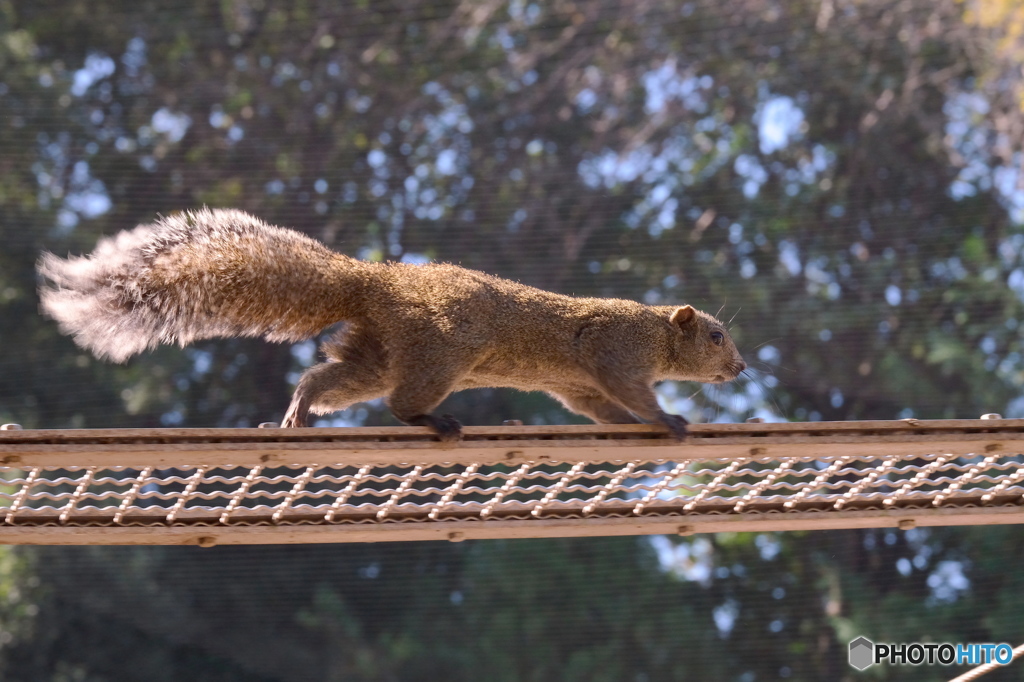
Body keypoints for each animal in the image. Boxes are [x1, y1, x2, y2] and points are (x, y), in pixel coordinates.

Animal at [37, 209, 745, 438]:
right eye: (715, 335)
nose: (741, 368)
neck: (654, 331)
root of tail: (374, 281)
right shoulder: (613, 350)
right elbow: (628, 392)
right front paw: (668, 419)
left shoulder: (576, 384)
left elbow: (600, 409)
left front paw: (636, 423)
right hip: (441, 352)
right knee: (401, 403)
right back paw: (435, 421)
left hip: (378, 355)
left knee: (325, 378)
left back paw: (296, 414)